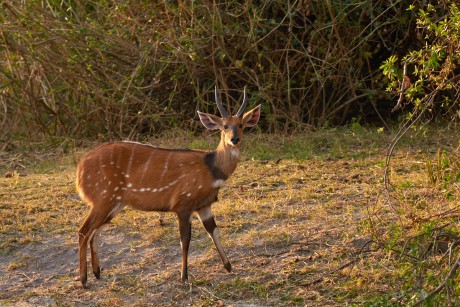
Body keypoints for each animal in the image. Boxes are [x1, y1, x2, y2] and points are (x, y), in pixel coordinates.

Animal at [77, 86, 260, 288]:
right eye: (225, 126)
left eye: (241, 125)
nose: (234, 139)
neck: (212, 170)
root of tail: (80, 169)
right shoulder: (184, 204)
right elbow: (185, 240)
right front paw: (184, 277)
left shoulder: (204, 205)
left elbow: (213, 230)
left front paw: (228, 266)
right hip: (103, 199)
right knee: (84, 231)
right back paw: (84, 280)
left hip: (114, 204)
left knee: (95, 231)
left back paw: (97, 273)